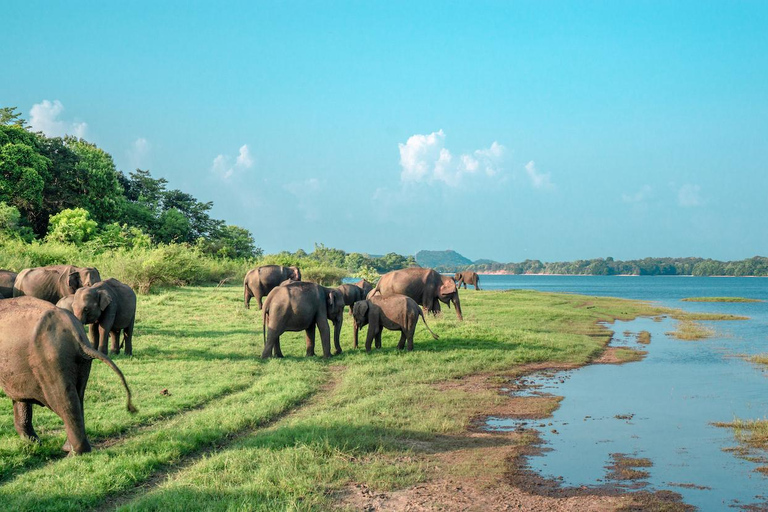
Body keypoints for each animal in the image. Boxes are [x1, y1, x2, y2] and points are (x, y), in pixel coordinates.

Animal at [0, 298, 136, 454]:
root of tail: (75, 332)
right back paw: (69, 448)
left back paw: (75, 453)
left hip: (51, 361)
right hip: (80, 362)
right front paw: (33, 444)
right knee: (78, 396)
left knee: (64, 401)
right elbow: (20, 398)